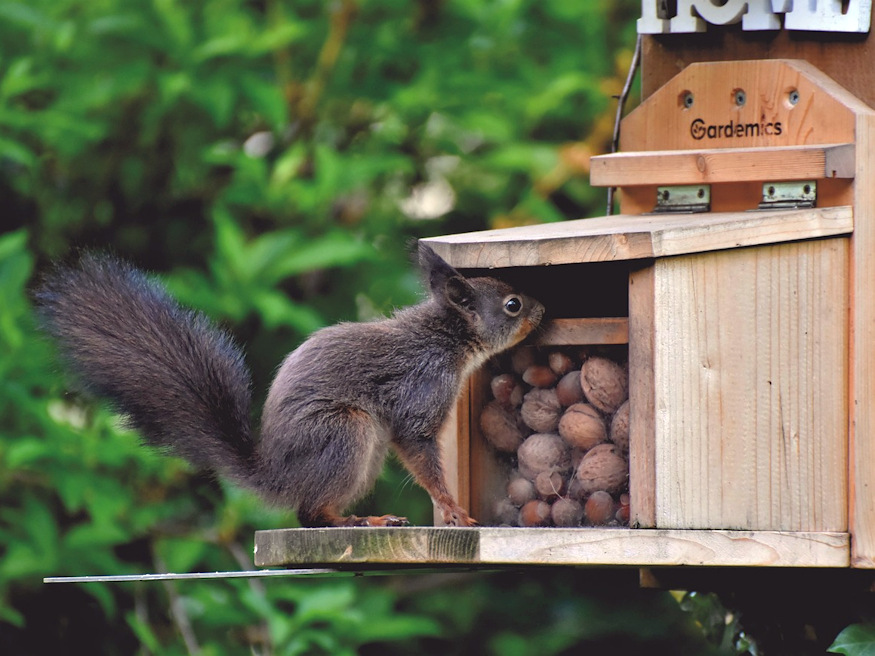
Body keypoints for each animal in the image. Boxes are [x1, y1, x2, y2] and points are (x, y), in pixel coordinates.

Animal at [35, 243, 545, 527]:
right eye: (512, 304)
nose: (542, 308)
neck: (445, 339)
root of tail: (276, 475)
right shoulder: (420, 389)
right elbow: (419, 449)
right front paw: (451, 508)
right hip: (345, 432)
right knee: (310, 515)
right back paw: (361, 520)